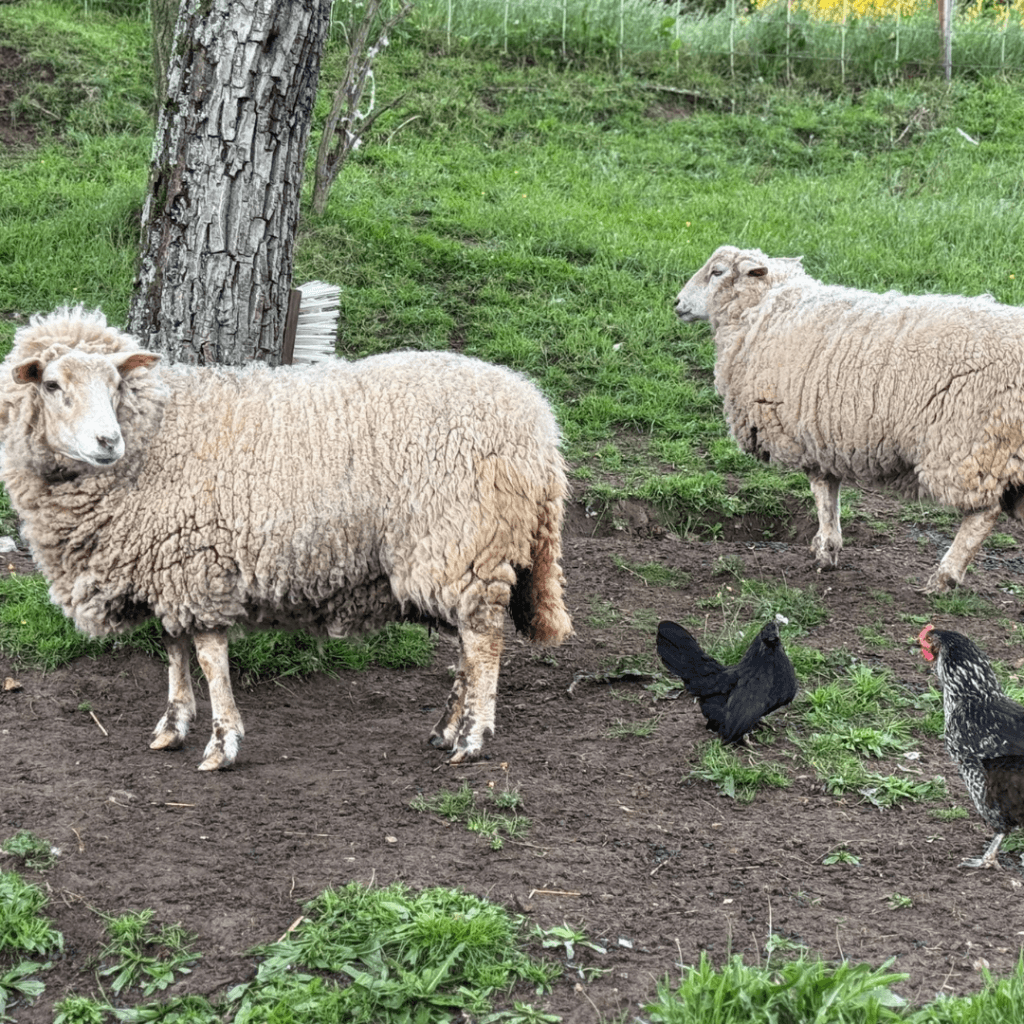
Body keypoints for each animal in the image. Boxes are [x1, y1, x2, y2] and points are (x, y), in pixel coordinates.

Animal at [0, 306, 572, 770]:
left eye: (115, 384)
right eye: (52, 385)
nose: (107, 441)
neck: (157, 431)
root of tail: (540, 425)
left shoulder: (196, 563)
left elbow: (209, 657)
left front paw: (222, 743)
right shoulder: (165, 564)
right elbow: (174, 648)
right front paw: (173, 724)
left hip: (465, 544)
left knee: (484, 640)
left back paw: (472, 739)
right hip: (453, 554)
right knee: (465, 647)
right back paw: (446, 729)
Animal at [674, 245, 1024, 594]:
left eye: (717, 272)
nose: (676, 303)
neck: (765, 309)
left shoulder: (806, 433)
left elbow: (821, 492)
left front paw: (825, 550)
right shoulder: (823, 434)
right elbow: (829, 494)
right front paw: (827, 547)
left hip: (972, 445)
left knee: (983, 513)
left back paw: (944, 578)